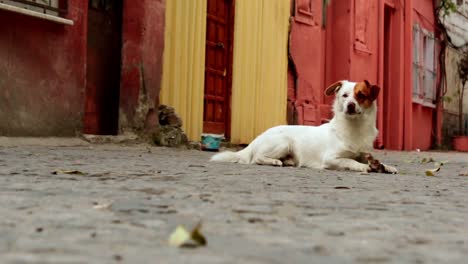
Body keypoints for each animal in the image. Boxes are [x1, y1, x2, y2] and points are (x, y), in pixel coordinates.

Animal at [210, 79, 396, 173]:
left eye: (361, 95)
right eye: (344, 95)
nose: (350, 105)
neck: (355, 127)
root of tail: (257, 138)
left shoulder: (364, 153)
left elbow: (372, 160)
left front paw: (385, 166)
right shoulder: (330, 158)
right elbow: (349, 161)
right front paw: (364, 167)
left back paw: (287, 161)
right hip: (283, 142)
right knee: (256, 158)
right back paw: (275, 161)